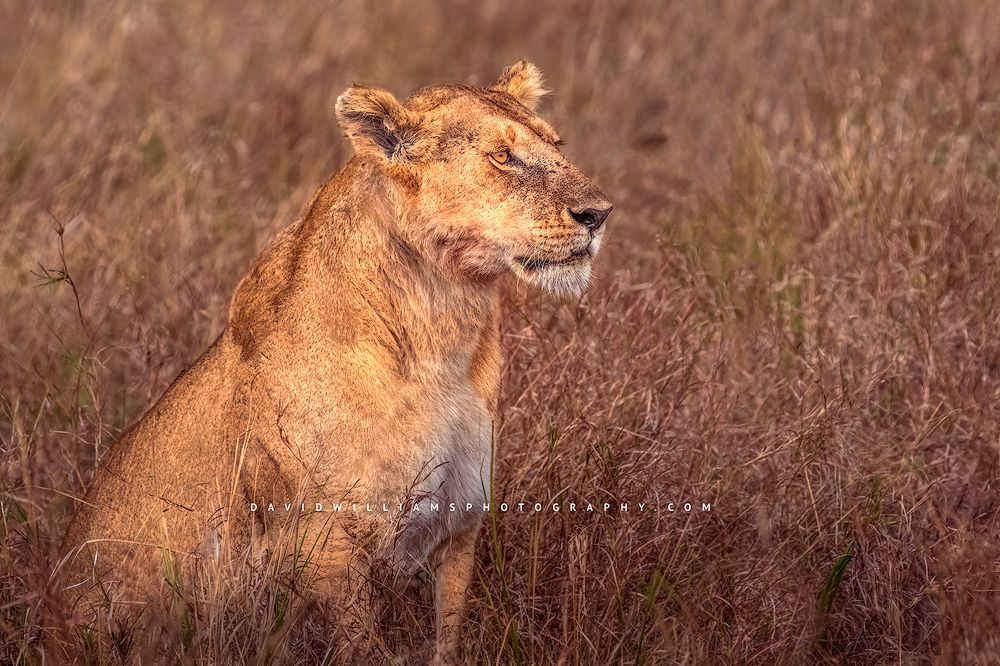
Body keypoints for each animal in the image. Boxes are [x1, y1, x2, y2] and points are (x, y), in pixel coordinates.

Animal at [52, 60, 612, 664]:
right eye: (502, 156)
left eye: (557, 144)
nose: (600, 214)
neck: (445, 330)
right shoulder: (329, 544)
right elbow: (360, 646)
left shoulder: (460, 524)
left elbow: (448, 634)